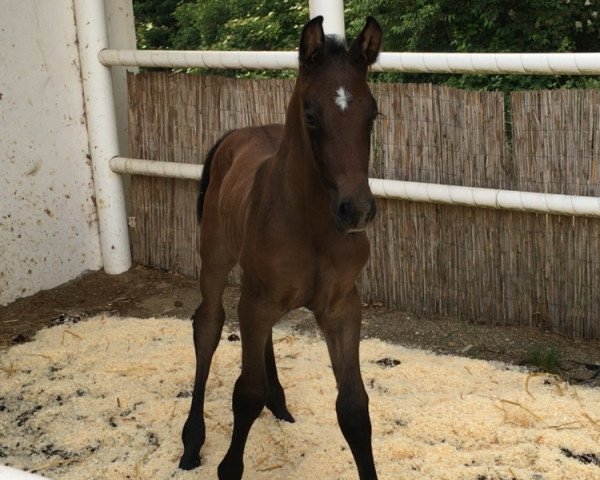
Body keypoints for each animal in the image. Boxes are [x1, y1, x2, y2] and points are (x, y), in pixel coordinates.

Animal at [178, 15, 382, 480]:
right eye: (310, 114)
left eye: (373, 113)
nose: (357, 211)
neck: (312, 225)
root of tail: (238, 133)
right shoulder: (256, 301)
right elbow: (245, 394)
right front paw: (226, 465)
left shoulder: (341, 307)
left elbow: (354, 407)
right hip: (215, 259)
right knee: (208, 325)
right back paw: (192, 440)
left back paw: (279, 400)